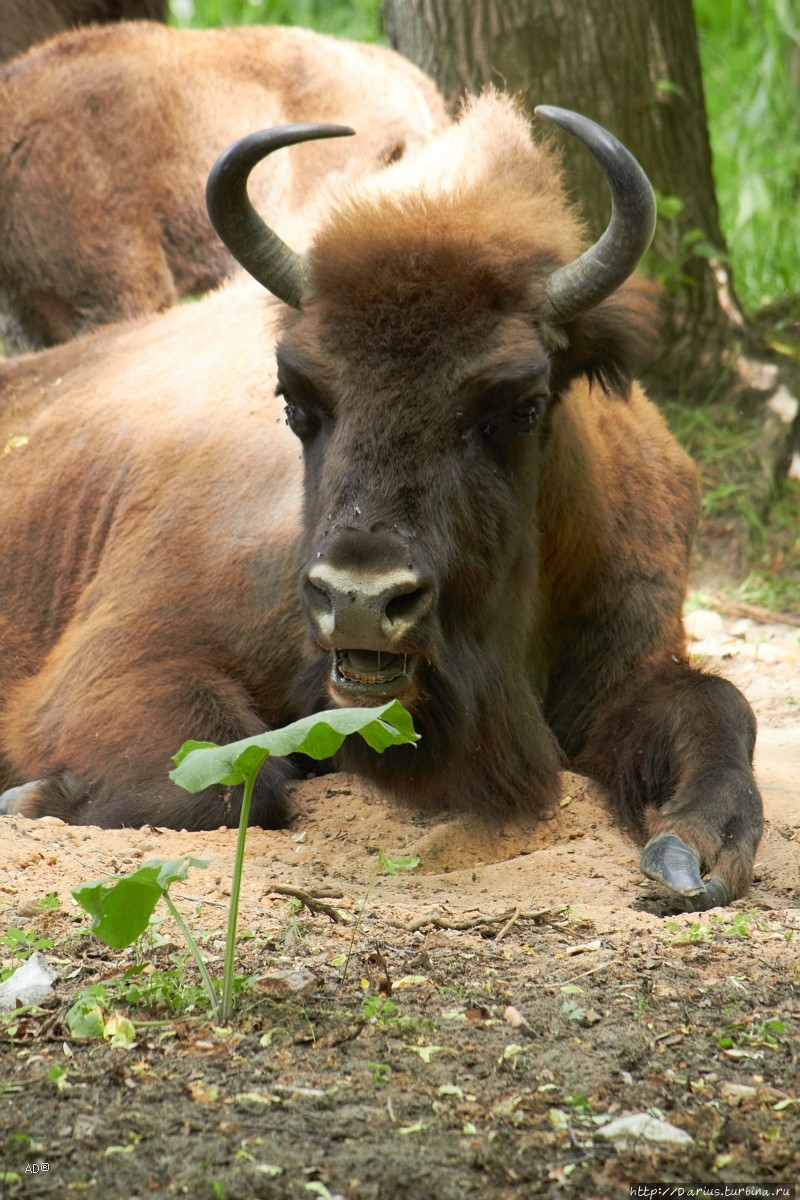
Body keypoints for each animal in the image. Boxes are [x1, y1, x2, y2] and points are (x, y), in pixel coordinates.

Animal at [0, 93, 762, 907]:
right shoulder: (136, 656)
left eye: (521, 406)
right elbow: (228, 785)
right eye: (295, 399)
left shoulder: (628, 666)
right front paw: (31, 796)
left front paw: (693, 856)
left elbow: (720, 707)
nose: (360, 599)